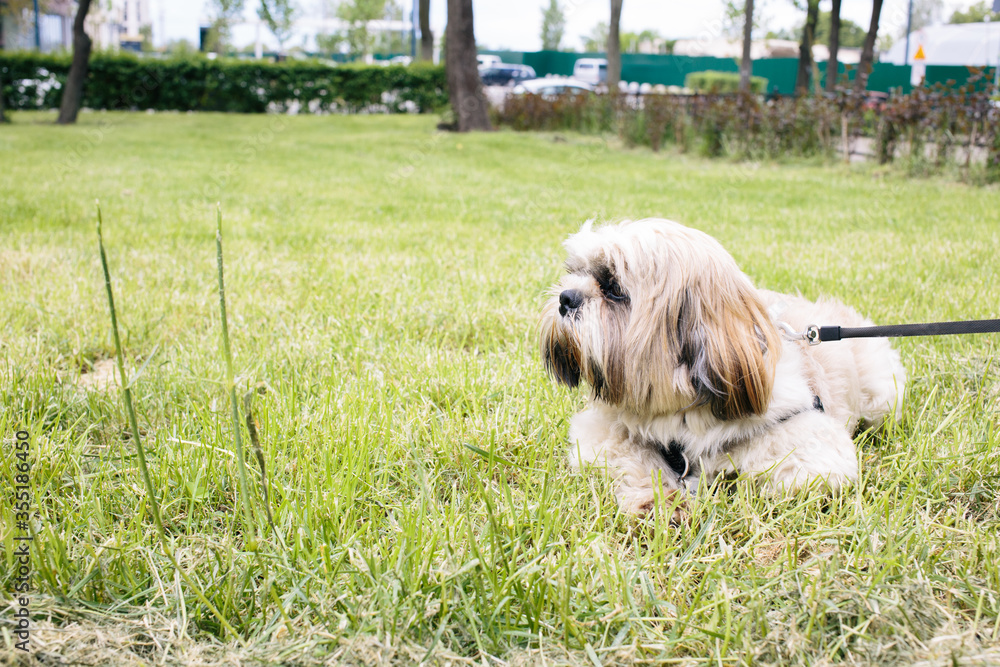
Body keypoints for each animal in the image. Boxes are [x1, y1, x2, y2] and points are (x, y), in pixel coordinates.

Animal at [540, 217, 908, 516]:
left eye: (614, 289)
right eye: (575, 272)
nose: (566, 297)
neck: (682, 414)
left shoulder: (813, 451)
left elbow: (759, 472)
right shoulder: (599, 433)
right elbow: (635, 458)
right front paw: (657, 501)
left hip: (882, 397)